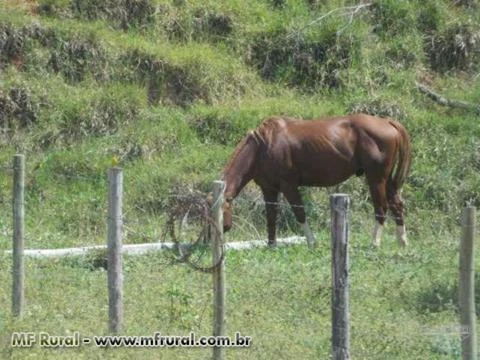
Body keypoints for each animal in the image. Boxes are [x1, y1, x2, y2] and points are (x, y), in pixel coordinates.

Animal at [219, 114, 410, 249]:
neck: (264, 146)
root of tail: (387, 122)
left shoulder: (289, 186)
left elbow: (300, 213)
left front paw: (312, 242)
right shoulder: (269, 189)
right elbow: (271, 216)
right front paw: (271, 245)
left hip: (376, 179)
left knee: (381, 208)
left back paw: (375, 243)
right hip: (387, 181)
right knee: (397, 204)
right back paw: (402, 241)